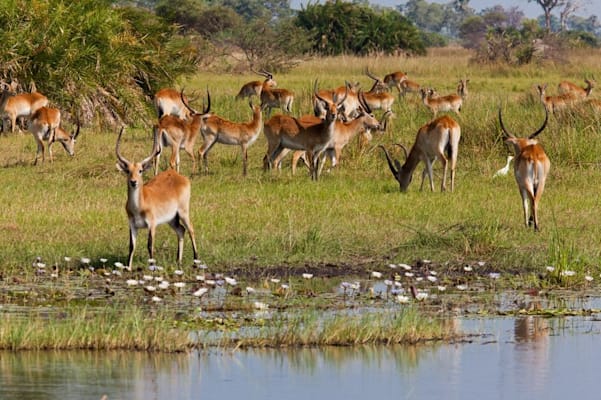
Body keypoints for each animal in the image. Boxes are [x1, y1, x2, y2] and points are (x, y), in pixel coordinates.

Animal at [112, 126, 197, 268]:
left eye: (140, 170)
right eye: (128, 171)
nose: (133, 182)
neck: (139, 205)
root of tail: (180, 176)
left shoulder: (152, 224)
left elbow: (150, 245)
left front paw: (152, 266)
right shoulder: (132, 225)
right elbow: (131, 246)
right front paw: (128, 268)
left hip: (183, 211)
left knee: (191, 229)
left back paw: (196, 261)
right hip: (172, 218)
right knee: (181, 230)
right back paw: (178, 261)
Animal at [496, 104, 548, 233]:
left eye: (515, 146)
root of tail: (533, 154)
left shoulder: (520, 185)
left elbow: (524, 202)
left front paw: (527, 223)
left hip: (527, 182)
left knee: (532, 201)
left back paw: (533, 226)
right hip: (541, 183)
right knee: (536, 200)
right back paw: (536, 226)